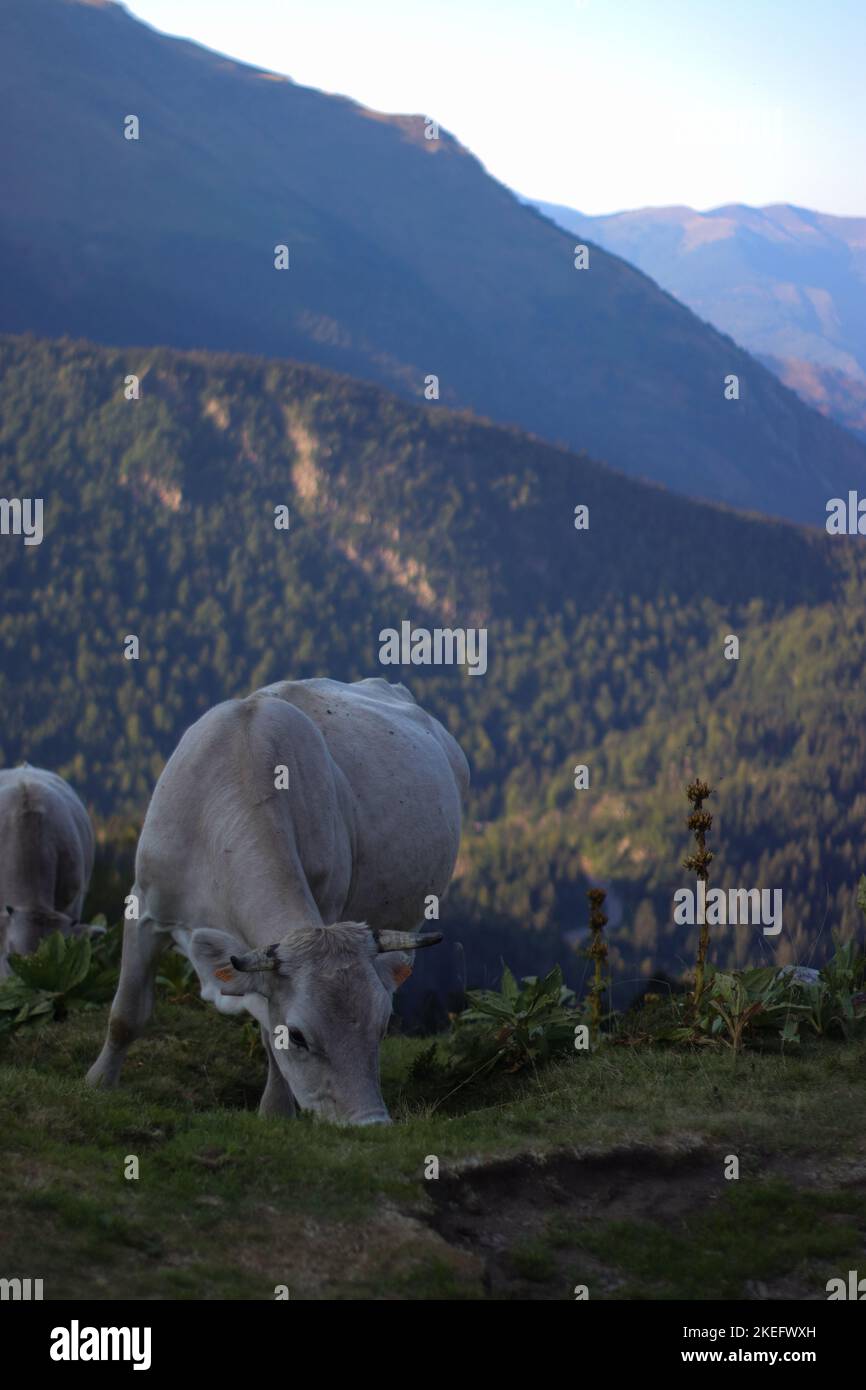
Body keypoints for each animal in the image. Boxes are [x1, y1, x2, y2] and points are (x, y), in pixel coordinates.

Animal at [87, 677, 469, 1125]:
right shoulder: (145, 907)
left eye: (381, 1027)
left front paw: (274, 1113)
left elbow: (269, 1036)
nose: (370, 1122)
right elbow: (126, 1013)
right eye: (300, 1036)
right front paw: (98, 1083)